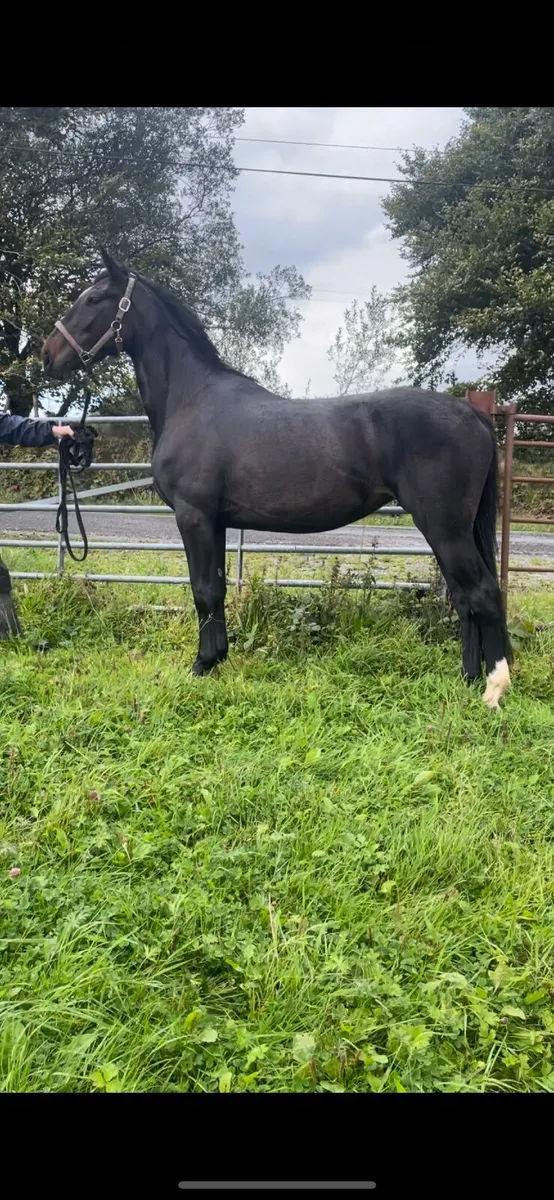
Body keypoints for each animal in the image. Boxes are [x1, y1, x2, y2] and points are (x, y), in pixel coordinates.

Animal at [42, 248, 511, 709]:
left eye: (94, 299)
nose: (48, 356)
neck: (191, 400)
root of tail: (472, 413)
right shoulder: (215, 522)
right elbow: (216, 588)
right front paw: (217, 658)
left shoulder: (194, 516)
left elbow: (202, 590)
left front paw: (201, 665)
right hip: (448, 530)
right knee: (464, 598)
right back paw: (468, 678)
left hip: (444, 527)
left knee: (483, 593)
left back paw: (493, 688)